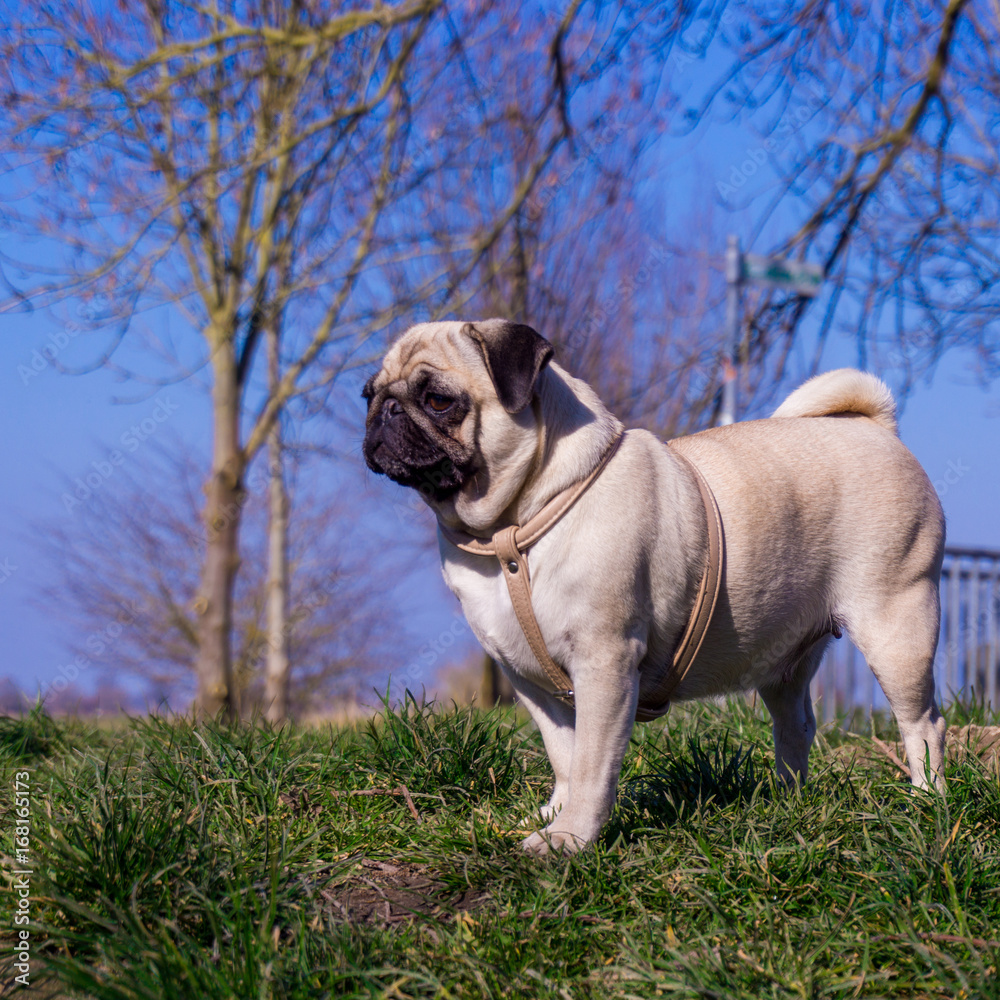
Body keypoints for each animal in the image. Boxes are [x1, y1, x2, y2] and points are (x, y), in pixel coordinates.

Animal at [362, 318, 944, 852]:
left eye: (438, 400)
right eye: (368, 394)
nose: (383, 412)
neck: (511, 528)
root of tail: (876, 428)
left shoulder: (605, 664)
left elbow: (593, 764)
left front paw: (568, 839)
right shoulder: (530, 682)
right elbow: (565, 756)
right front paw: (554, 816)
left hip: (897, 628)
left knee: (924, 724)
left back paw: (927, 801)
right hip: (786, 660)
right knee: (796, 725)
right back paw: (788, 803)